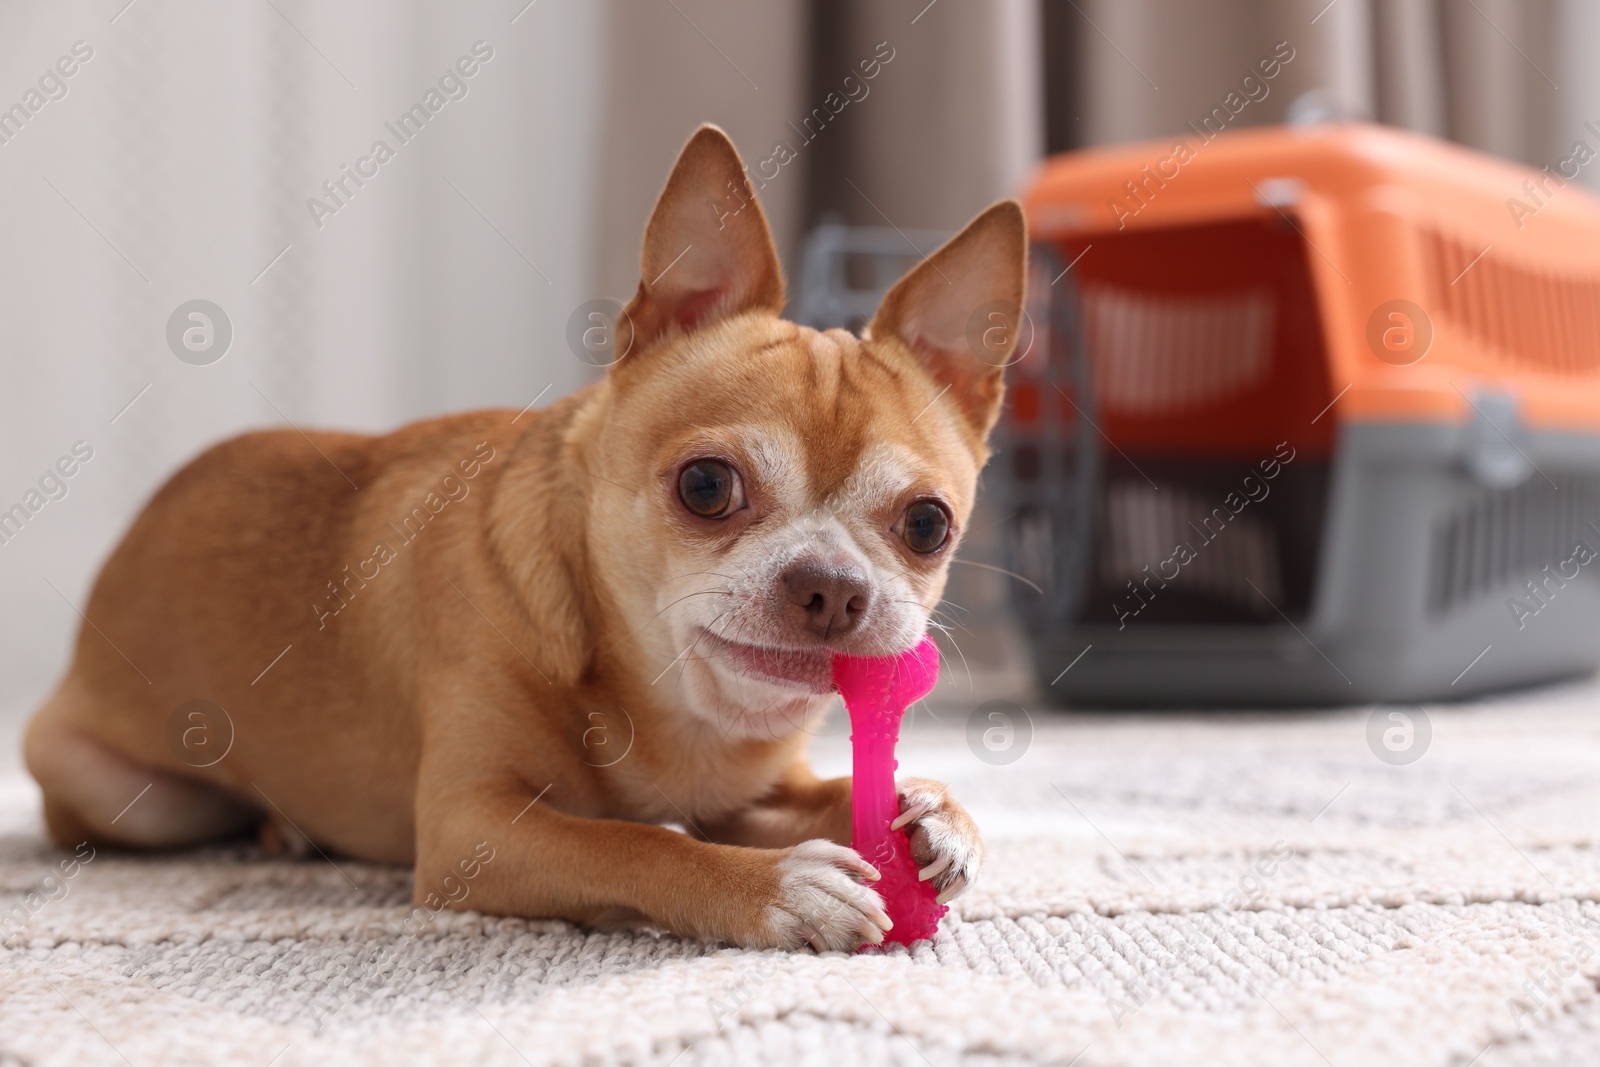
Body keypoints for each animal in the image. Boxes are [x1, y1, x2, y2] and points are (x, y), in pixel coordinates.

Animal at [28, 125, 1024, 953]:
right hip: (120, 792)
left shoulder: (748, 797)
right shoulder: (472, 831)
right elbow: (632, 842)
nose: (832, 584)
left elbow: (828, 796)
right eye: (706, 486)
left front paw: (938, 812)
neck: (678, 709)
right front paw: (777, 886)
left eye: (928, 524)